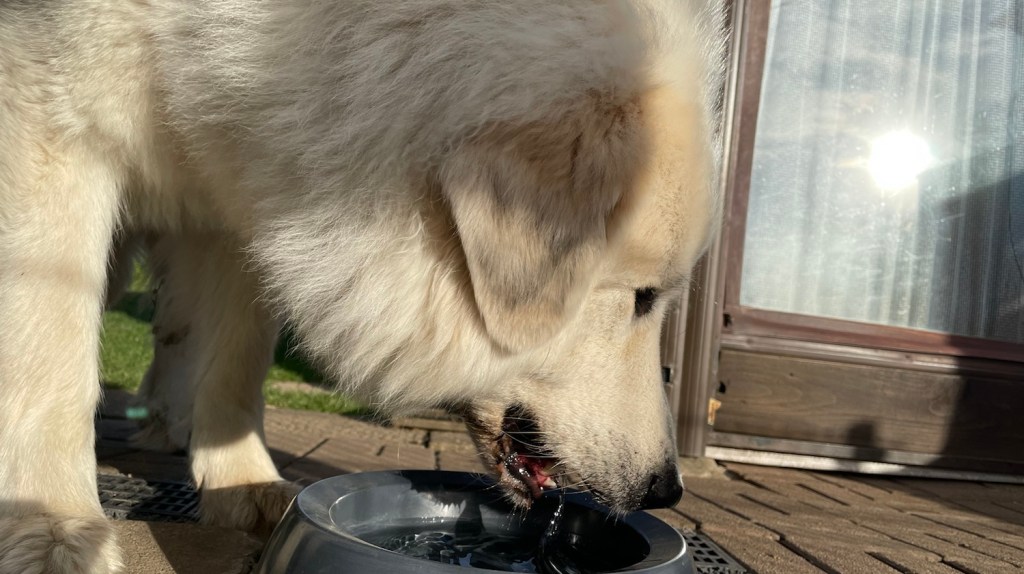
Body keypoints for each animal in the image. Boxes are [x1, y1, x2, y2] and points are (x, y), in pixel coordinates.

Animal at [0, 0, 727, 571]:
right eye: (643, 298)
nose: (667, 490)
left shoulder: (240, 191)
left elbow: (235, 359)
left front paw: (241, 483)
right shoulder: (49, 120)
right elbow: (51, 357)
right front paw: (53, 527)